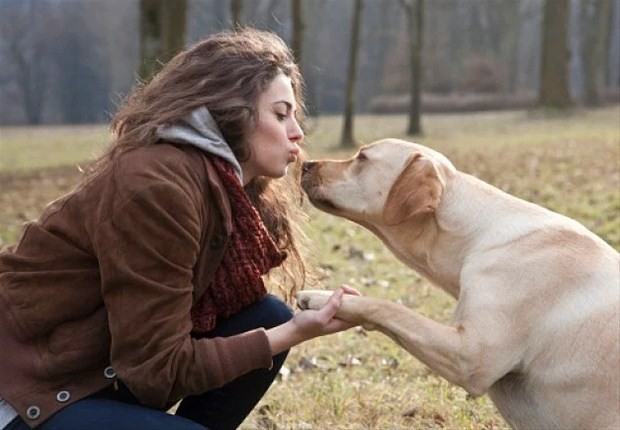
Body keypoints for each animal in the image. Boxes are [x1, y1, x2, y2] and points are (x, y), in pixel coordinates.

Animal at [298, 139, 616, 428]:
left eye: (362, 158)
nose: (304, 163)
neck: (477, 236)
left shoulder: (470, 356)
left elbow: (389, 308)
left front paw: (323, 297)